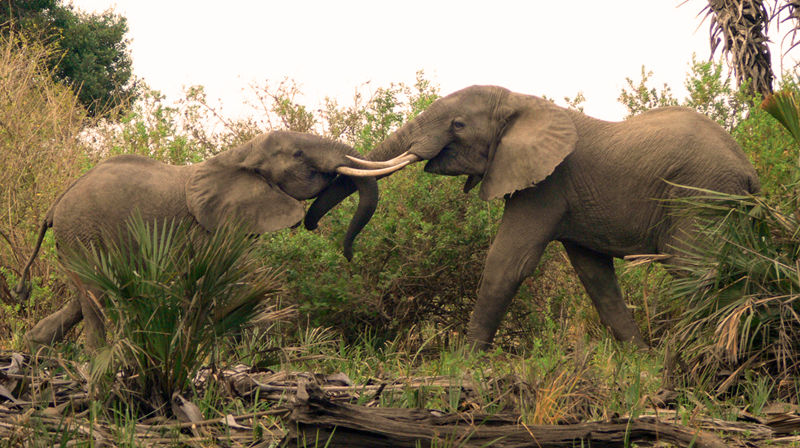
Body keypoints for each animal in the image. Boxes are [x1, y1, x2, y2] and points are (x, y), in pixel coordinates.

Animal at [15, 130, 384, 349]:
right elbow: (229, 281)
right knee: (95, 297)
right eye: (298, 155)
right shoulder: (207, 229)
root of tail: (56, 203)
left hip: (77, 236)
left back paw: (34, 349)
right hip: (80, 230)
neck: (241, 153)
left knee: (84, 296)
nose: (348, 254)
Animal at [304, 85, 761, 350]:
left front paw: (465, 360)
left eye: (458, 125)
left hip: (701, 194)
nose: (344, 252)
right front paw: (639, 358)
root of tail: (749, 170)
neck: (523, 102)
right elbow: (596, 277)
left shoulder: (546, 184)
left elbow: (508, 261)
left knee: (694, 269)